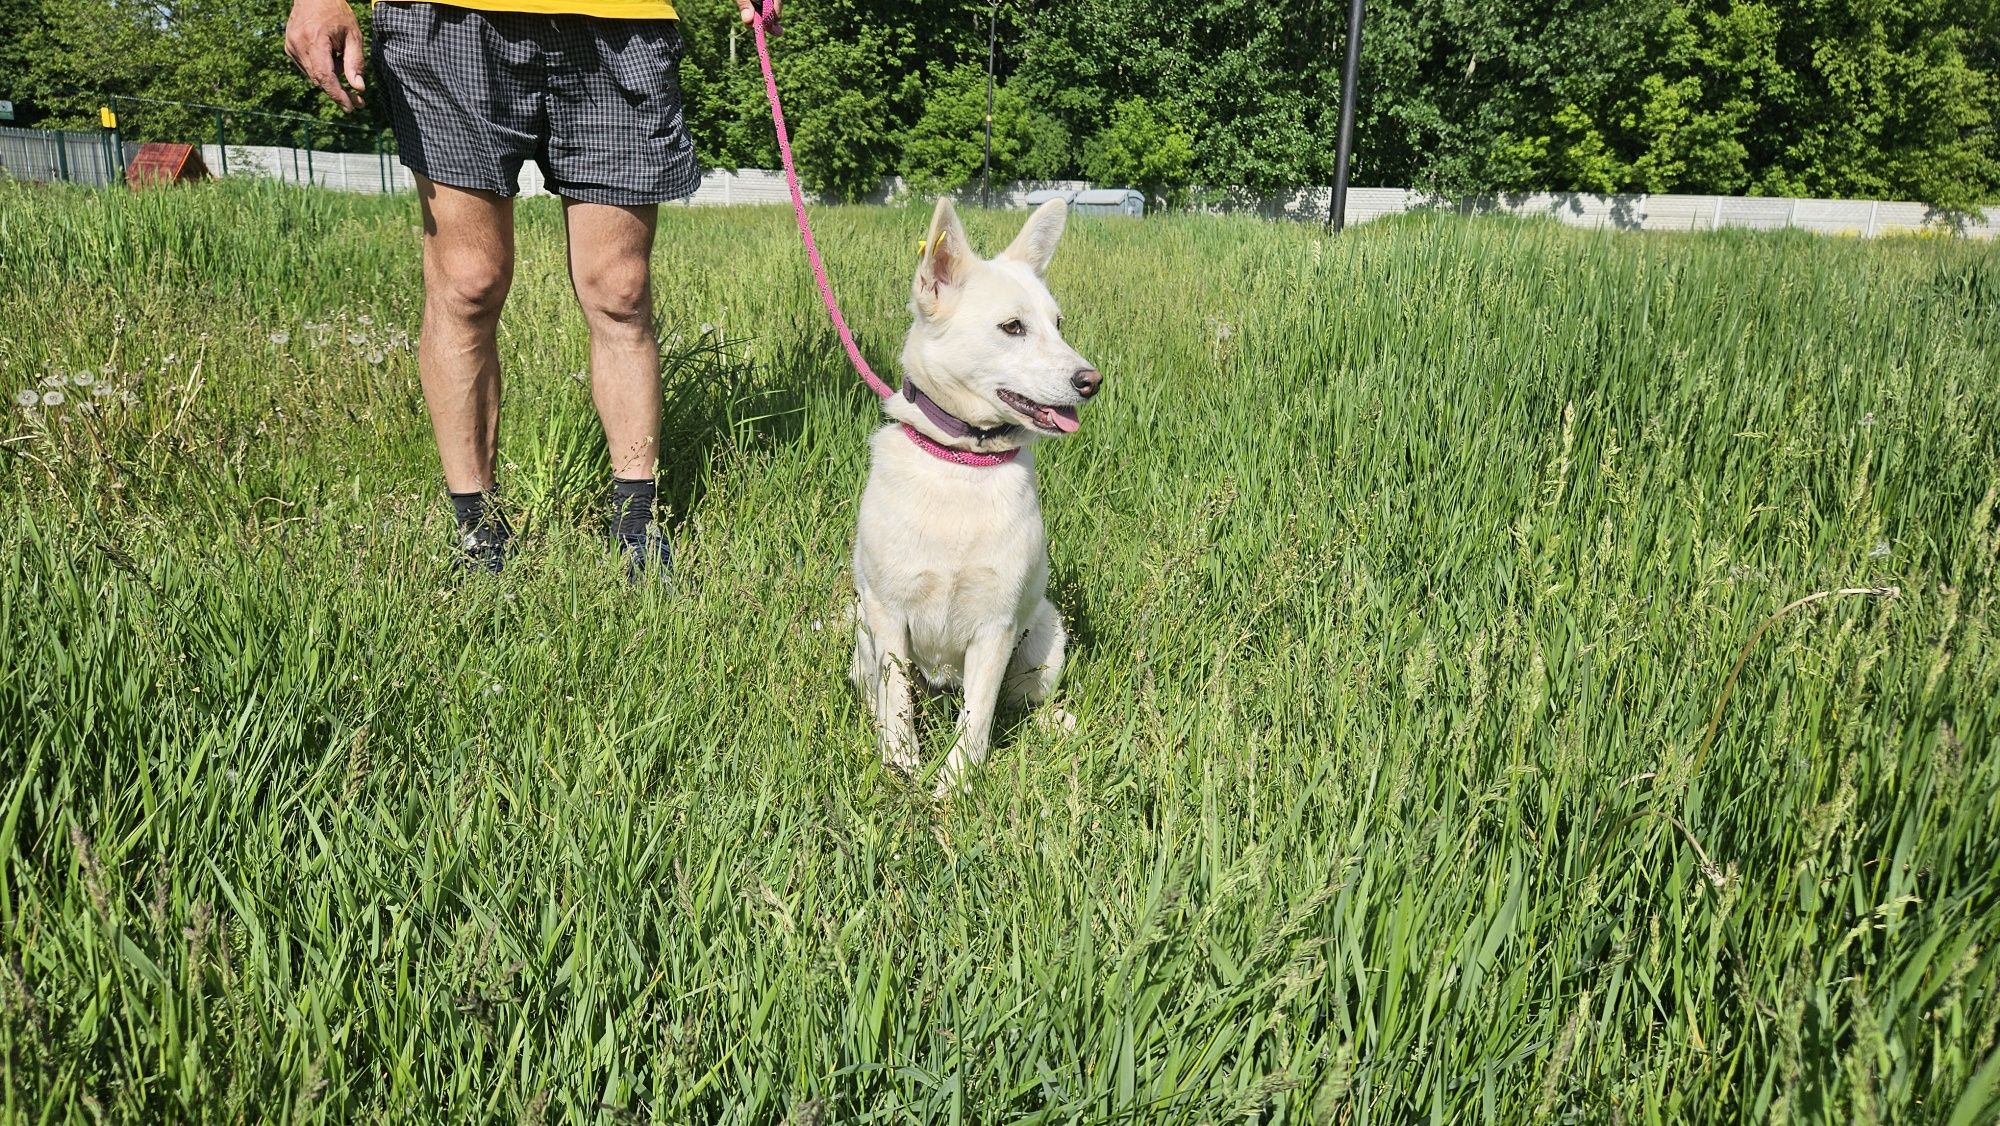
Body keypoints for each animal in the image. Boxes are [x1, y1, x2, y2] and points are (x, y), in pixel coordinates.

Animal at [840, 194, 1096, 796]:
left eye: (1058, 324)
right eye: (1012, 327)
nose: (1091, 381)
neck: (965, 464)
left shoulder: (996, 628)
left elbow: (978, 715)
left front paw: (954, 786)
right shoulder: (889, 614)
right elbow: (897, 700)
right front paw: (901, 766)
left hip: (1046, 636)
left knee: (1014, 703)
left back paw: (1053, 722)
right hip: (863, 633)